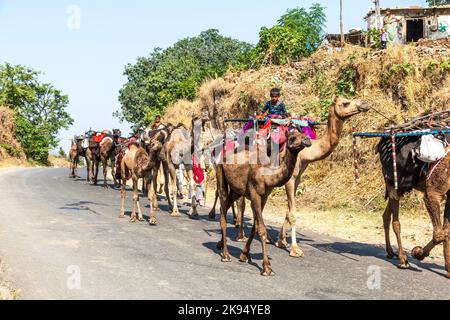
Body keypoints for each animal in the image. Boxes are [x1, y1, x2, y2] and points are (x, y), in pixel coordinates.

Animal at [216, 125, 312, 276]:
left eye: (303, 134)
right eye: (292, 137)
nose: (307, 140)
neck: (268, 176)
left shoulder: (265, 196)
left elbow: (255, 226)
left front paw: (244, 255)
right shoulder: (254, 193)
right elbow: (261, 228)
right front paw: (266, 267)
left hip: (237, 190)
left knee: (224, 209)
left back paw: (220, 244)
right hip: (220, 173)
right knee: (223, 207)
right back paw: (226, 255)